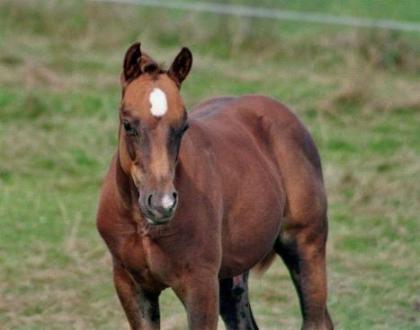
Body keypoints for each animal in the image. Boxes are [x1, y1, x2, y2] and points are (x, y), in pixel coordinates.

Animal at [97, 43, 334, 330]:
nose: (161, 204)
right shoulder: (130, 284)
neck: (144, 226)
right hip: (231, 276)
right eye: (128, 124)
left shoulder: (200, 283)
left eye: (183, 126)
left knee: (316, 319)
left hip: (306, 246)